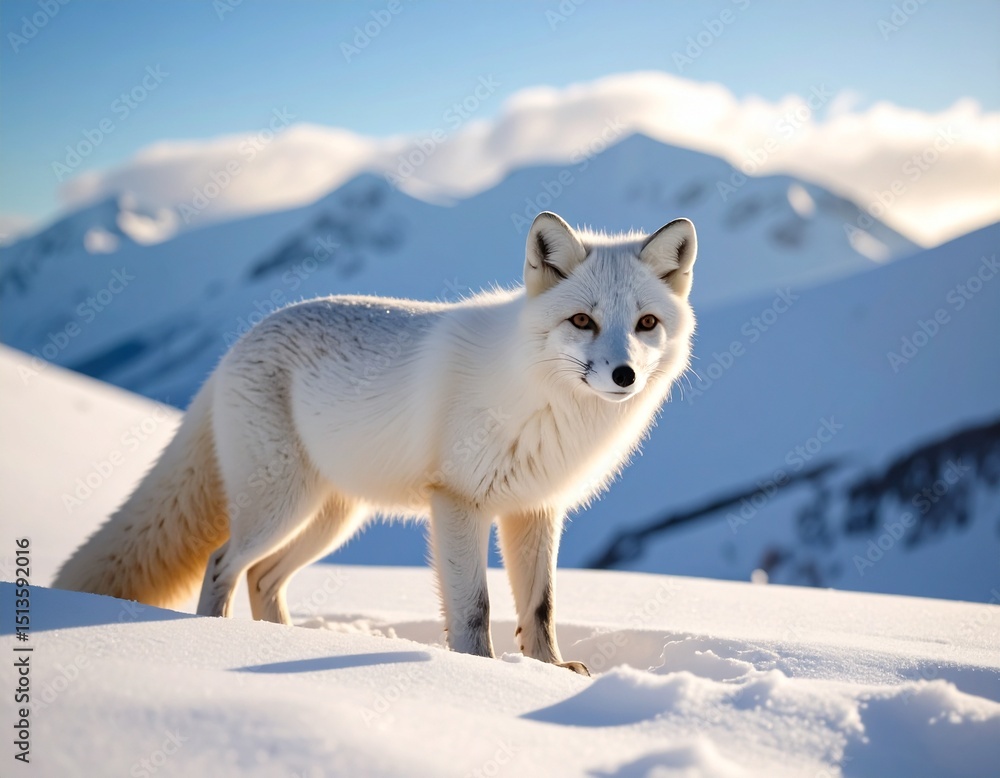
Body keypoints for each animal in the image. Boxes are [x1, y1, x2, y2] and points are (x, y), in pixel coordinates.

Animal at [55, 211, 698, 675]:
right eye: (582, 322)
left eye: (645, 323)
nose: (624, 376)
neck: (539, 399)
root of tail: (239, 342)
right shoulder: (458, 501)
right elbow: (475, 608)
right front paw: (482, 674)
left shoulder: (535, 508)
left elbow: (539, 608)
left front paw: (549, 671)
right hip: (279, 507)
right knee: (221, 564)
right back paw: (215, 636)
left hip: (331, 518)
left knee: (263, 578)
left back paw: (280, 642)